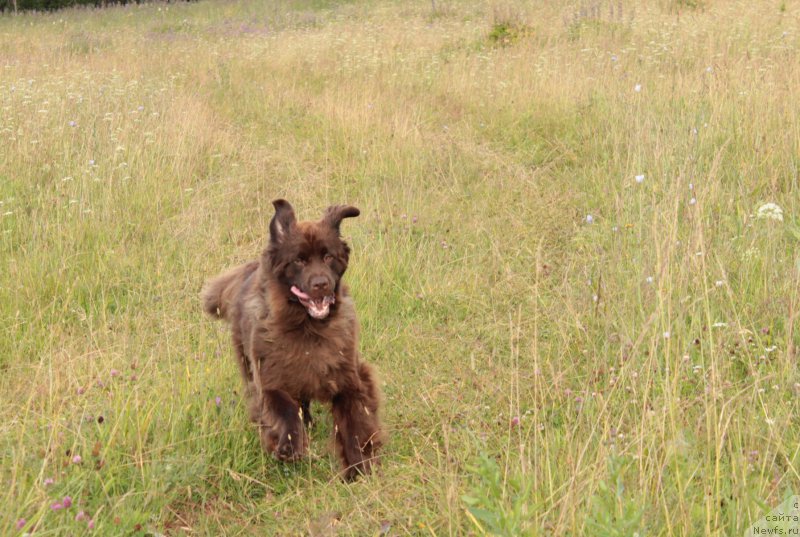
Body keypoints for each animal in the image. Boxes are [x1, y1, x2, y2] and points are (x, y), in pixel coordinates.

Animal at [202, 198, 386, 478]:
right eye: (298, 260)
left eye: (328, 257)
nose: (321, 283)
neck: (309, 330)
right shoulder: (269, 382)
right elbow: (286, 412)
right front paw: (289, 446)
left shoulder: (348, 379)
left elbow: (354, 423)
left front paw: (358, 469)